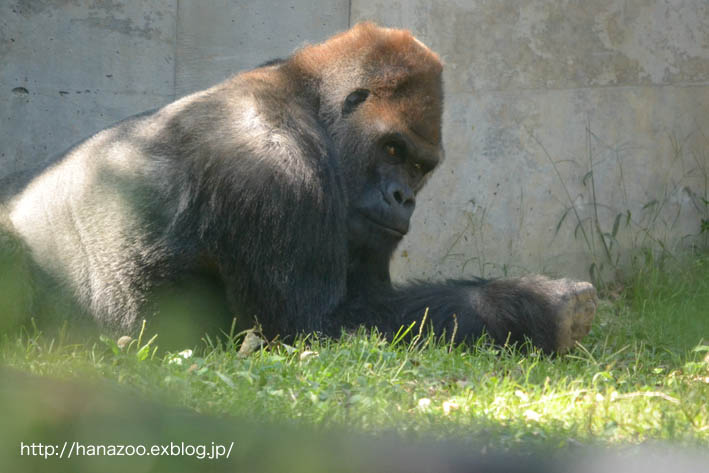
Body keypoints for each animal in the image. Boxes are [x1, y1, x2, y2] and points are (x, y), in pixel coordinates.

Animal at [1, 24, 596, 352]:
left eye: (421, 168)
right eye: (391, 150)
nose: (404, 198)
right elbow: (315, 329)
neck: (307, 101)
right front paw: (530, 305)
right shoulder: (275, 173)